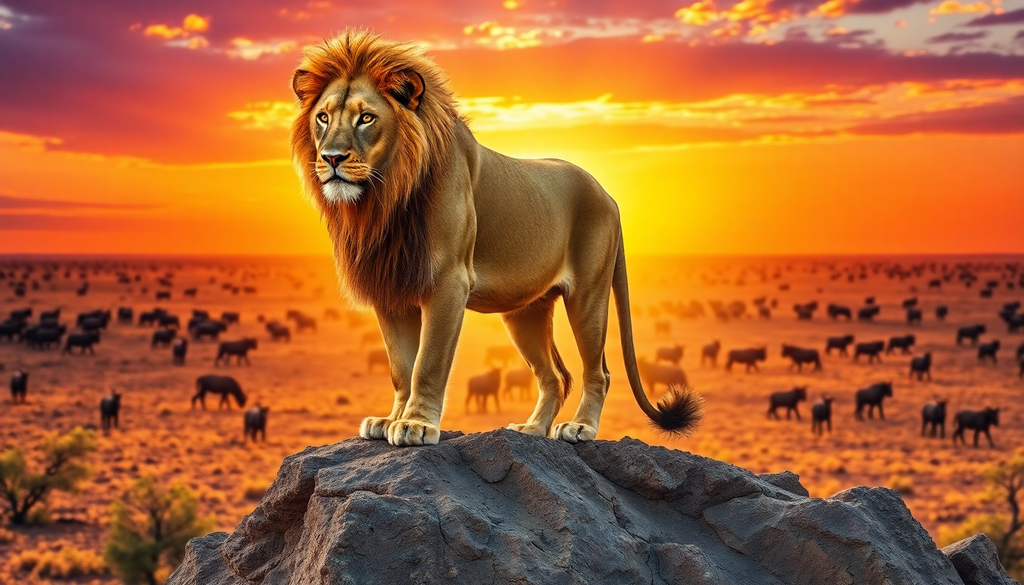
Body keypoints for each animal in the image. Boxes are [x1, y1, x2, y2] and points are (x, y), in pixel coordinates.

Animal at [290, 30, 703, 446]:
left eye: (366, 117)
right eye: (323, 117)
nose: (331, 158)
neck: (383, 199)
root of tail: (608, 194)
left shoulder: (449, 282)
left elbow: (428, 362)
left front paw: (416, 424)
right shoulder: (389, 287)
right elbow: (400, 367)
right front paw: (390, 419)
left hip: (588, 295)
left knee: (596, 372)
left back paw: (580, 427)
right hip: (526, 312)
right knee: (556, 376)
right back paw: (532, 429)